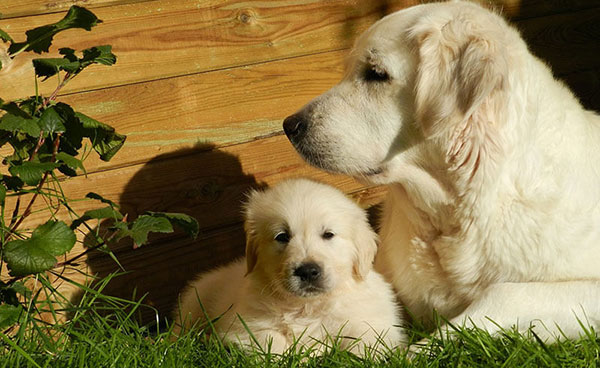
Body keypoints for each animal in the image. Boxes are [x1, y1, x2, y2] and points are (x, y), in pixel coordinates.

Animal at [172, 178, 404, 354]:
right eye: (282, 236)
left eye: (328, 234)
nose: (308, 271)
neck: (307, 306)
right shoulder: (244, 326)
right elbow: (272, 342)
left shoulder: (375, 324)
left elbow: (363, 344)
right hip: (195, 300)